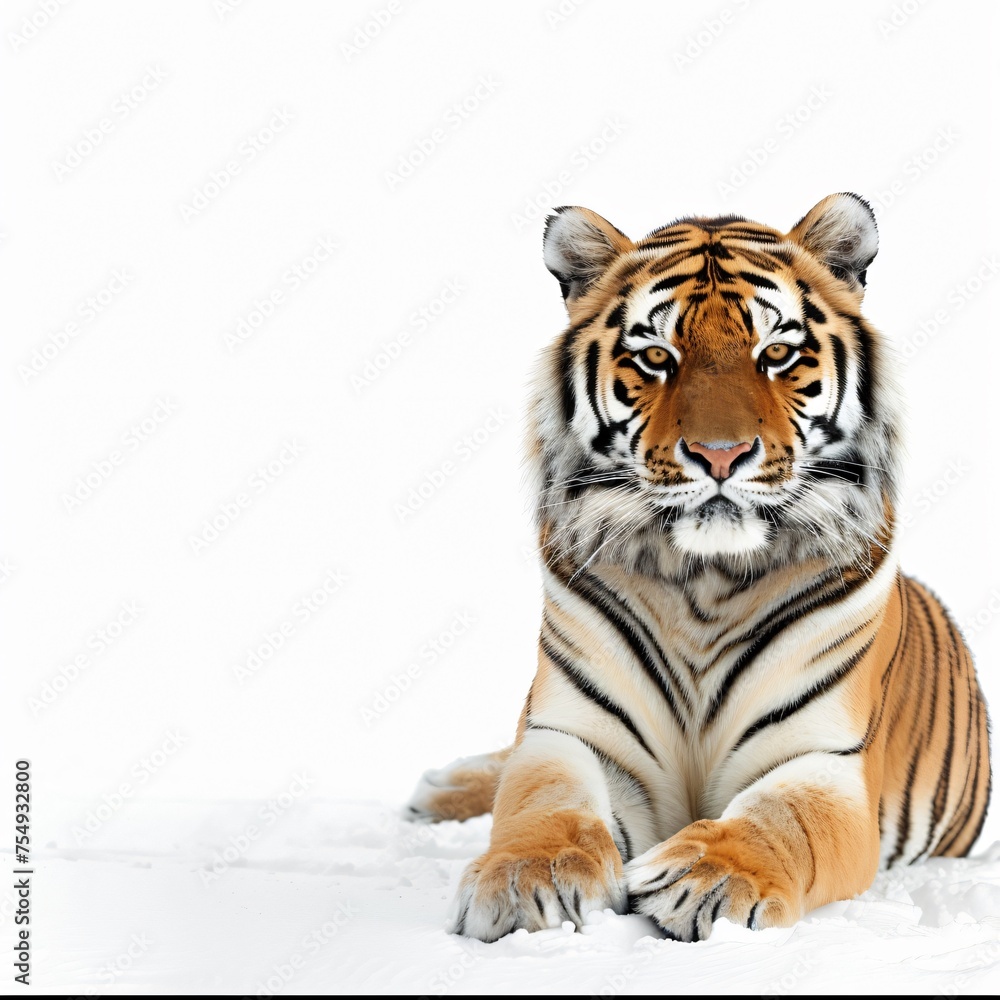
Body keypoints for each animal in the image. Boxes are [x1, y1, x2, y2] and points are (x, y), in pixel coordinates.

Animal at [406, 193, 991, 943]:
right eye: (657, 356)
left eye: (777, 353)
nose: (720, 454)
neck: (706, 582)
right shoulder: (574, 734)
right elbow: (542, 799)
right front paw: (525, 877)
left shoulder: (823, 762)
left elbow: (784, 819)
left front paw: (707, 878)